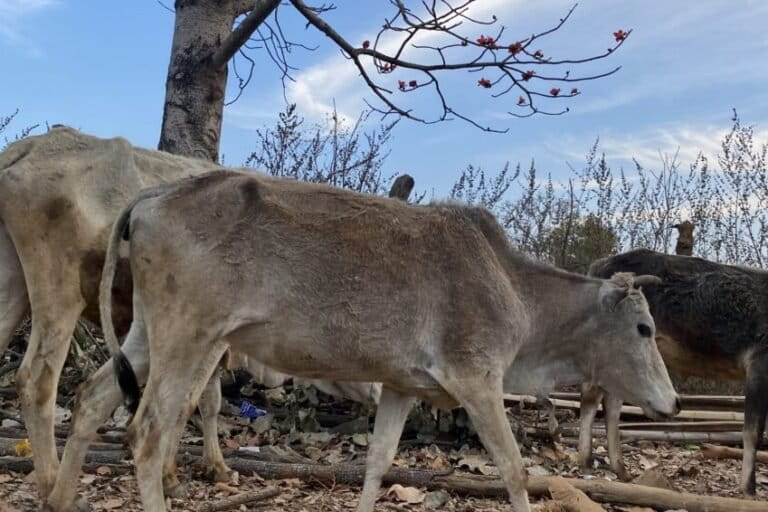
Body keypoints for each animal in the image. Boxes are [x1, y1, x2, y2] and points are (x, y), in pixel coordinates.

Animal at [85, 171, 680, 512]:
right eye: (644, 328)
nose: (674, 403)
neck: (514, 287)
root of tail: (151, 195)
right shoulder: (477, 380)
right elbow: (514, 470)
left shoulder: (400, 386)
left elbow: (377, 462)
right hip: (190, 336)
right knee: (147, 433)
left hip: (149, 335)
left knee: (93, 397)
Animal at [584, 249, 764, 496]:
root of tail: (599, 264)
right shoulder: (758, 362)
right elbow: (753, 431)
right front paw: (749, 489)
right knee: (593, 397)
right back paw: (586, 459)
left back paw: (621, 470)